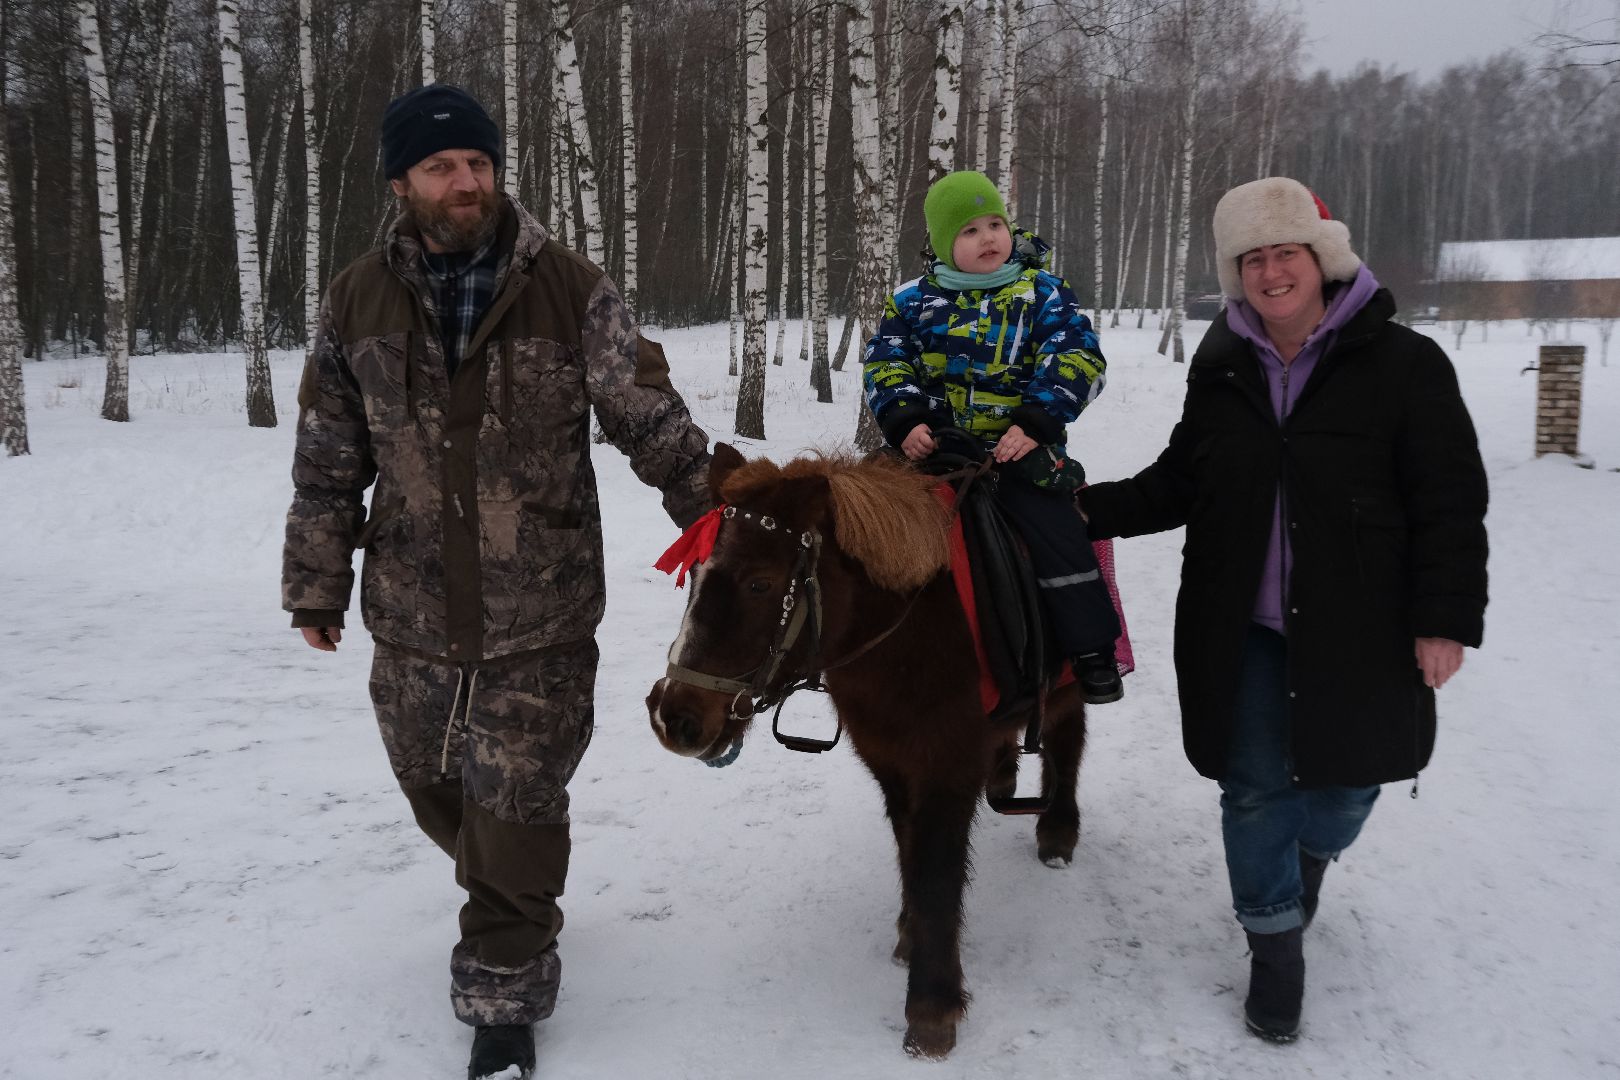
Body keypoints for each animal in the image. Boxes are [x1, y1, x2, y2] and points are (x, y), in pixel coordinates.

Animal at [644, 443, 1089, 1059]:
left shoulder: (946, 771)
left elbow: (936, 873)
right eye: (694, 576)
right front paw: (910, 935)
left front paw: (932, 1007)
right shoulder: (893, 766)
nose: (675, 718)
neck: (909, 633)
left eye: (760, 584)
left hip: (1070, 691)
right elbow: (909, 853)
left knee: (1068, 745)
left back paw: (1058, 832)